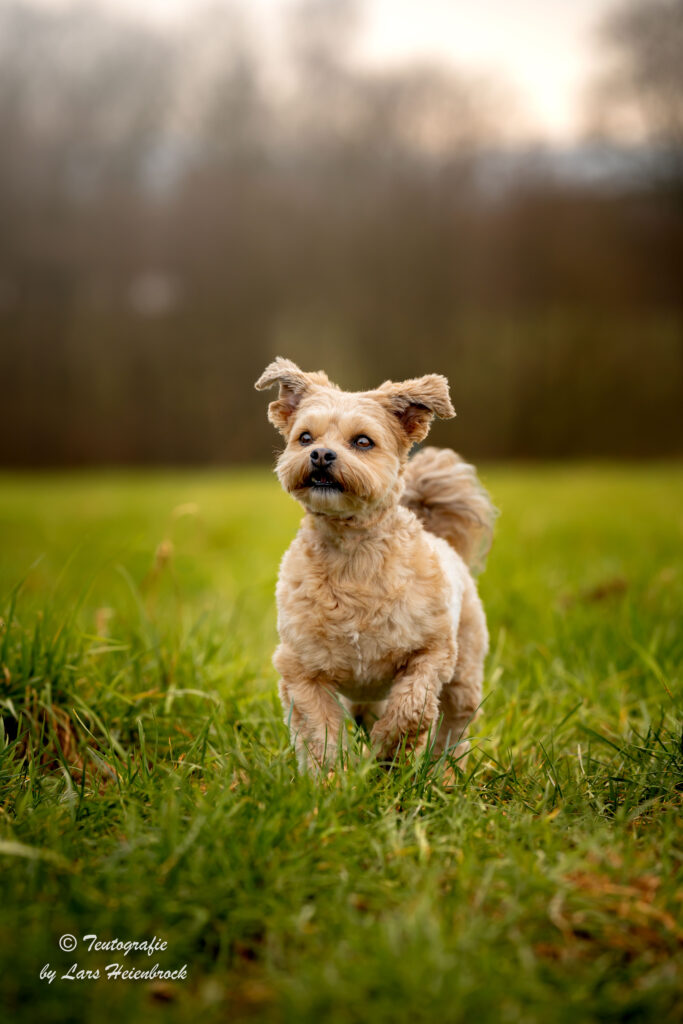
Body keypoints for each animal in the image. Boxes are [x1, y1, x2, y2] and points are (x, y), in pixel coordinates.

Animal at [253, 356, 493, 770]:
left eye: (363, 441)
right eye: (305, 438)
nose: (321, 455)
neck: (353, 557)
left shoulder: (433, 652)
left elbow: (412, 706)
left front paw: (388, 752)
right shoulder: (301, 670)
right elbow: (319, 731)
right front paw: (331, 777)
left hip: (464, 671)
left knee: (453, 726)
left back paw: (444, 771)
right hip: (361, 694)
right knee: (364, 712)